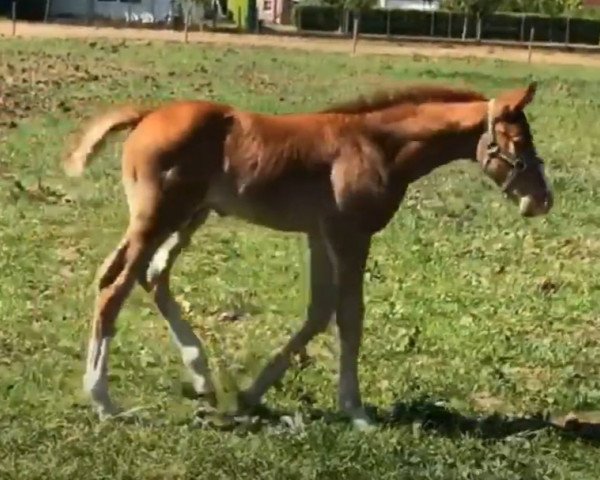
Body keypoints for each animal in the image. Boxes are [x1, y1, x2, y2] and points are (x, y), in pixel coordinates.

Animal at [65, 81, 552, 428]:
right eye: (518, 144)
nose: (542, 201)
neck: (377, 144)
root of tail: (147, 114)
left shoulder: (320, 236)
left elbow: (319, 312)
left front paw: (250, 395)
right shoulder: (351, 234)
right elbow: (349, 316)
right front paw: (356, 411)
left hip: (188, 217)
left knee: (150, 276)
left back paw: (201, 375)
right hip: (159, 217)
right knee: (115, 286)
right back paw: (103, 400)